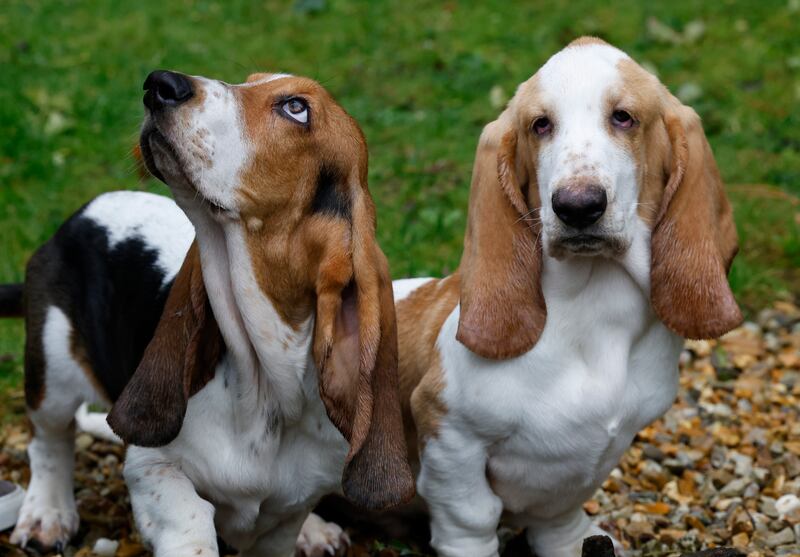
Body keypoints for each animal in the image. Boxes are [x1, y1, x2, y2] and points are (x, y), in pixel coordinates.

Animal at [6, 70, 416, 556]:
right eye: (249, 80)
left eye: (296, 108)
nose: (160, 83)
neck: (264, 389)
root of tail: (79, 215)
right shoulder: (151, 466)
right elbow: (191, 520)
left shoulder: (286, 516)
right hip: (52, 365)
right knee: (50, 440)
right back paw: (47, 516)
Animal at [390, 37, 740, 552]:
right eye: (540, 125)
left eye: (624, 117)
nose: (577, 207)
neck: (594, 315)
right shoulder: (448, 432)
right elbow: (470, 518)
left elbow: (559, 513)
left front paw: (573, 542)